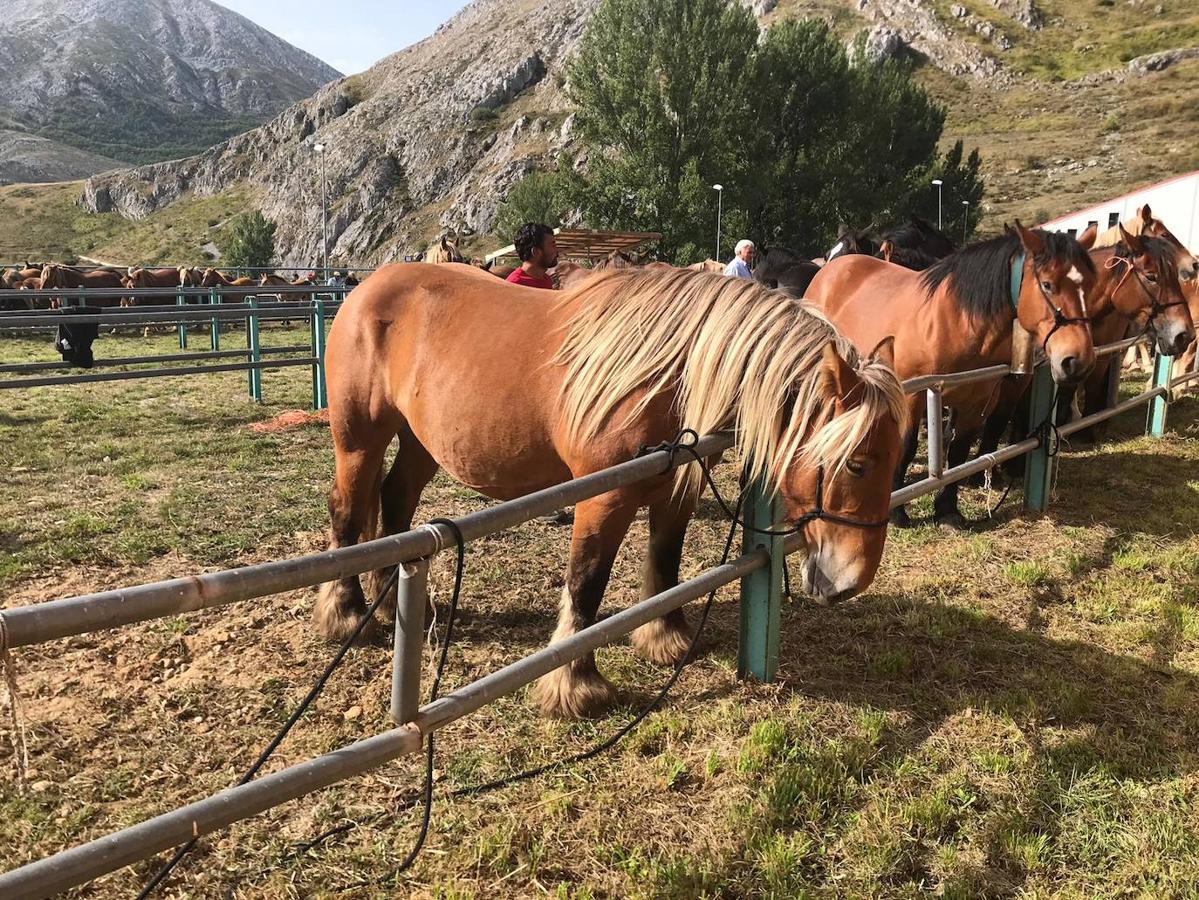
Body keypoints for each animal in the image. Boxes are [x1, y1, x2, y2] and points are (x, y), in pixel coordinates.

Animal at [314, 262, 901, 719]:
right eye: (857, 464)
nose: (850, 583)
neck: (668, 375)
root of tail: (369, 287)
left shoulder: (675, 490)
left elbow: (666, 562)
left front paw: (665, 638)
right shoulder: (602, 500)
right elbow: (586, 584)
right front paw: (575, 684)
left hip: (420, 441)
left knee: (396, 501)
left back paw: (392, 602)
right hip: (359, 440)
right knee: (348, 511)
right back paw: (347, 612)